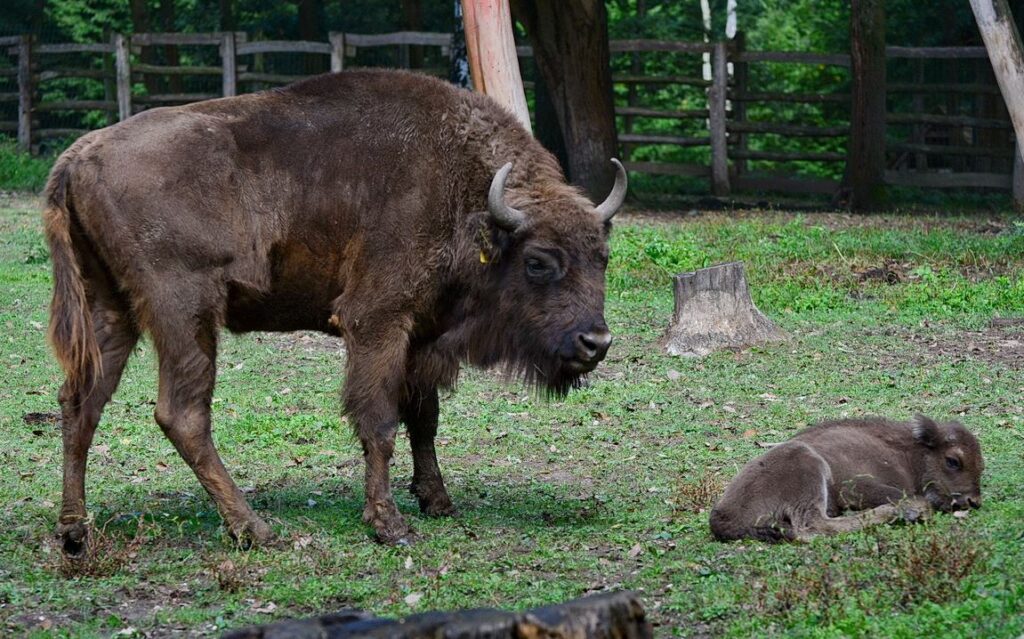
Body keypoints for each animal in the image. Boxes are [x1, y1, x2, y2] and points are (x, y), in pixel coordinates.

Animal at [44, 67, 622, 552]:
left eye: (603, 256)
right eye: (539, 261)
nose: (596, 343)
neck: (467, 192)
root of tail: (77, 158)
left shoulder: (420, 336)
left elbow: (424, 419)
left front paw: (437, 501)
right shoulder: (377, 322)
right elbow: (380, 423)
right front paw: (389, 525)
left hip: (111, 309)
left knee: (81, 402)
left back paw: (75, 530)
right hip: (184, 313)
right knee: (181, 414)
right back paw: (255, 529)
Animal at [712, 413, 983, 544]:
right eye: (953, 461)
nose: (974, 501)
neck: (908, 453)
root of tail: (722, 516)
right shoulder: (856, 486)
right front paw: (913, 512)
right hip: (809, 466)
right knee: (813, 527)